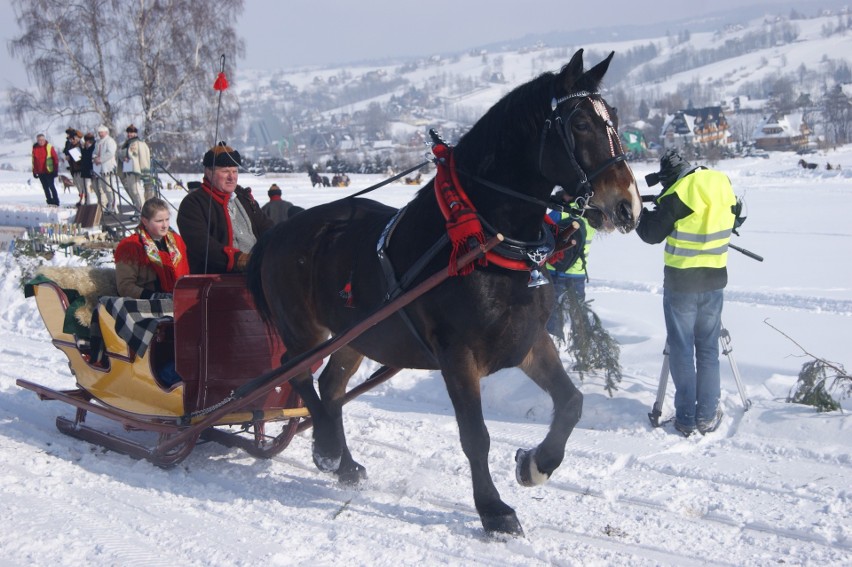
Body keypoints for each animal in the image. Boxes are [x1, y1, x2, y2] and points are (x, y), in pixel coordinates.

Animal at [246, 48, 640, 536]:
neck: (487, 236)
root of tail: (277, 232)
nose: (627, 206)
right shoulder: (458, 355)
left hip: (357, 336)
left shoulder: (528, 340)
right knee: (297, 373)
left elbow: (571, 402)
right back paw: (327, 447)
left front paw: (535, 464)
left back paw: (345, 463)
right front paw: (493, 509)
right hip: (305, 331)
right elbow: (475, 436)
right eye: (581, 122)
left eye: (615, 117)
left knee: (331, 386)